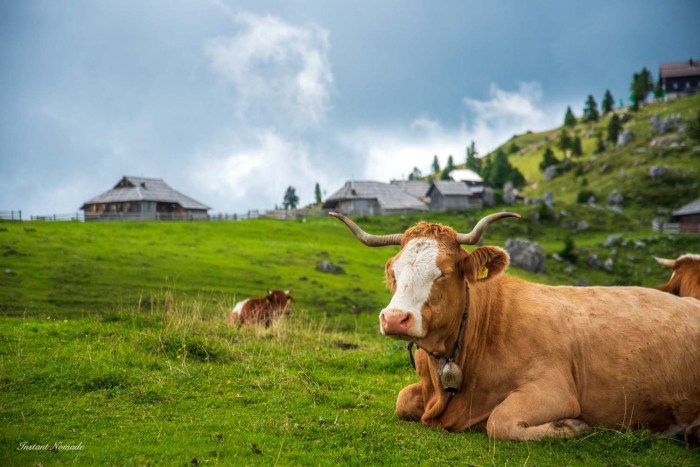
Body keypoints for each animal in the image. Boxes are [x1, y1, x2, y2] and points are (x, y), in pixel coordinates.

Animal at [330, 211, 700, 444]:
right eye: (394, 271)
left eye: (444, 272)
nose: (395, 318)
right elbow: (402, 400)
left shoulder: (554, 389)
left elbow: (500, 422)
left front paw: (570, 427)